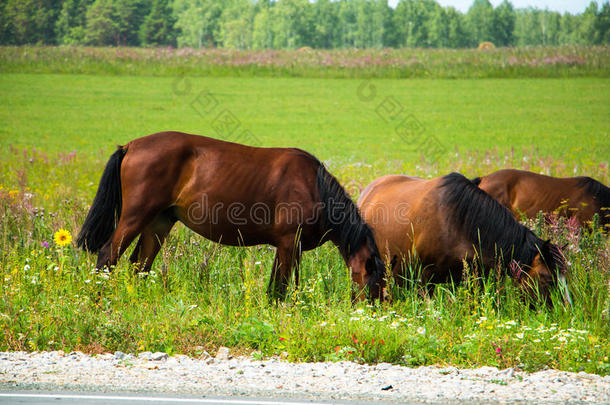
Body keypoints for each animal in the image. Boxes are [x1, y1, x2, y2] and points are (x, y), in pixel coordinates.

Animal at [73, 131, 382, 298]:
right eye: (373, 282)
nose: (374, 313)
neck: (314, 188)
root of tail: (131, 145)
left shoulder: (288, 248)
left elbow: (278, 287)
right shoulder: (288, 244)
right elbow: (279, 289)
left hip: (158, 223)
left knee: (139, 266)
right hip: (135, 217)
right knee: (108, 256)